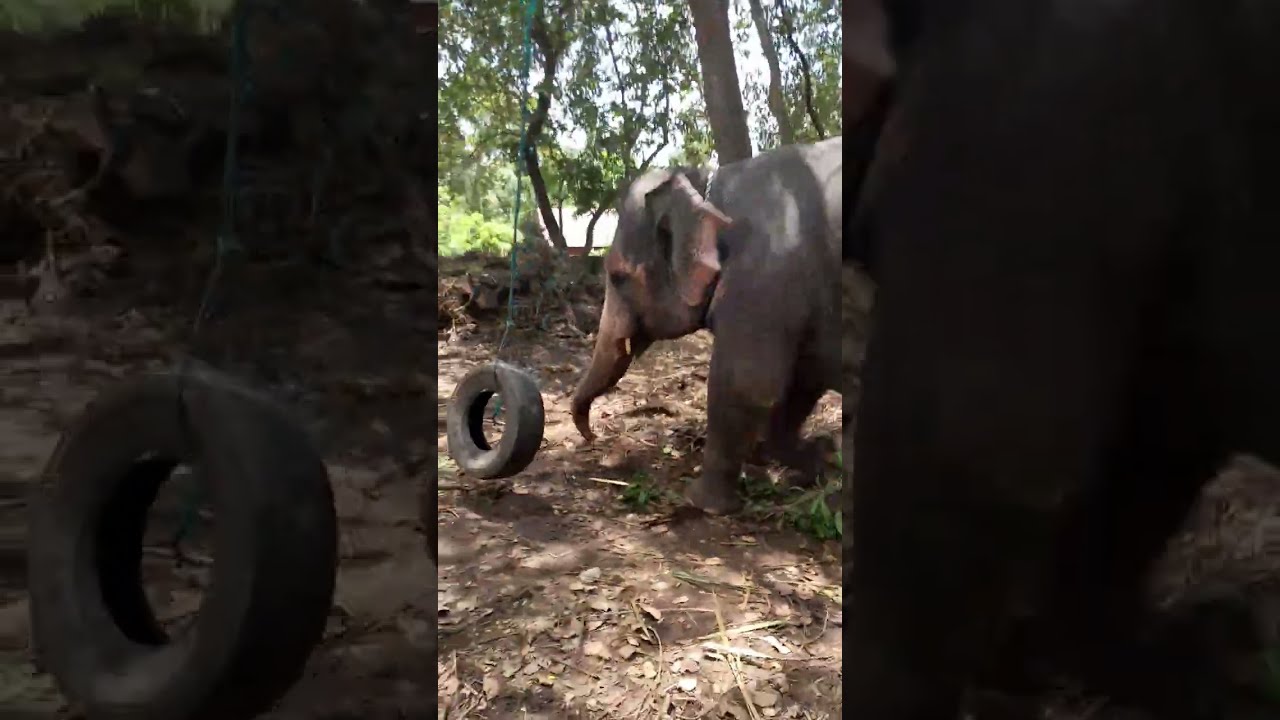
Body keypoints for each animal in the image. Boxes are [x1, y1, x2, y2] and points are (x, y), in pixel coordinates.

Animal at [570, 137, 842, 515]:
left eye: (618, 277)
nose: (592, 436)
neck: (709, 188)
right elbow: (801, 380)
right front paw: (818, 459)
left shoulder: (764, 277)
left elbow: (747, 382)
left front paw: (701, 502)